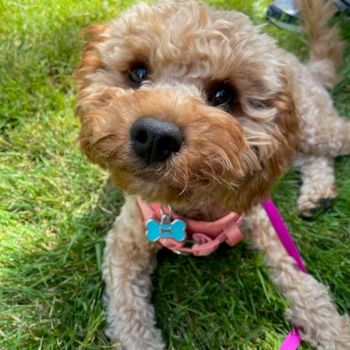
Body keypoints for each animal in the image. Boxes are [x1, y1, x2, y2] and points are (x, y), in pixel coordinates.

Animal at [74, 0, 350, 348]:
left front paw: (335, 332)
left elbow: (301, 283)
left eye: (223, 96)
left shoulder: (262, 224)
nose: (155, 137)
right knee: (314, 158)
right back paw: (317, 195)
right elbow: (129, 317)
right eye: (137, 72)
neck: (189, 205)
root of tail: (299, 64)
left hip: (314, 127)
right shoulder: (125, 246)